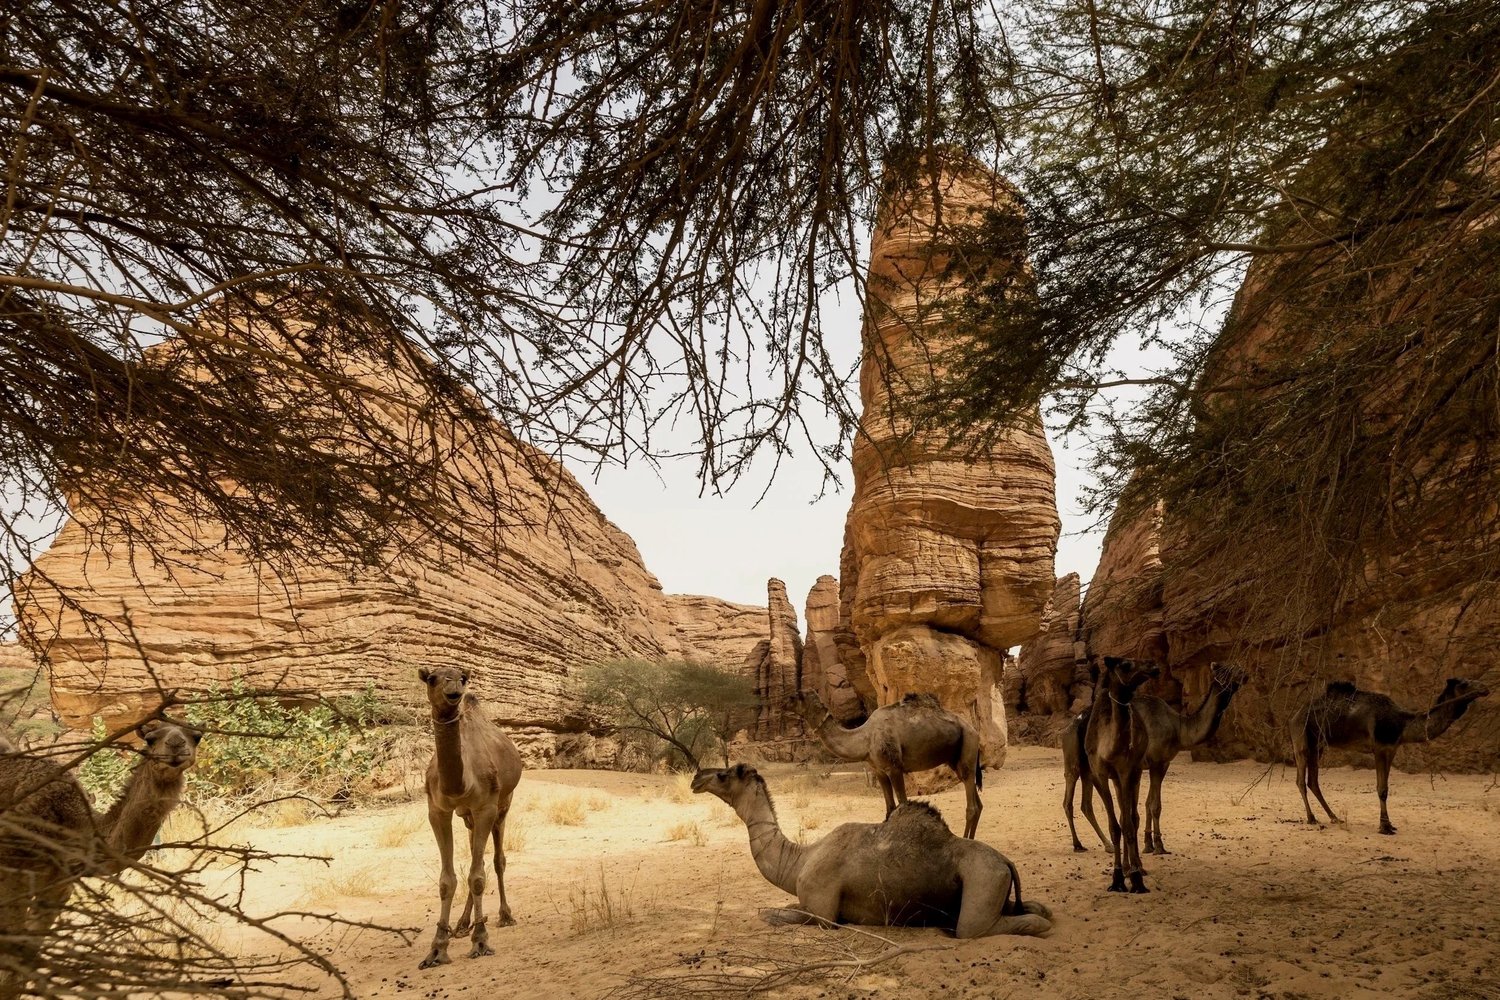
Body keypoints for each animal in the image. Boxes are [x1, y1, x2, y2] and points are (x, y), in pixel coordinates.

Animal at [416, 666, 522, 970]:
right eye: (432, 678)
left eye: (462, 678)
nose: (455, 690)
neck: (460, 783)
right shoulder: (437, 810)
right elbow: (447, 880)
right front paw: (437, 948)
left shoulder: (486, 806)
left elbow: (477, 876)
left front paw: (482, 941)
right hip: (467, 818)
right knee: (479, 857)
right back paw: (463, 924)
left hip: (503, 805)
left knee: (497, 860)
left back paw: (504, 915)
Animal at [691, 763, 1050, 937]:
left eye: (723, 774)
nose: (696, 778)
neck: (800, 860)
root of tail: (1006, 861)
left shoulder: (823, 913)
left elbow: (770, 914)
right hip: (996, 883)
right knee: (1036, 907)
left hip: (982, 880)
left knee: (980, 928)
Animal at [794, 690, 985, 838]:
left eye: (798, 696)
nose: (789, 700)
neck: (865, 738)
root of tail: (974, 730)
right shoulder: (879, 771)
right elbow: (890, 809)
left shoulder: (894, 768)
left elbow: (903, 807)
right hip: (956, 758)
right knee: (977, 802)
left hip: (968, 744)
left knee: (972, 805)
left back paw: (967, 840)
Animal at [1082, 656, 1160, 893]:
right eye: (1125, 664)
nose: (1154, 666)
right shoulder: (1099, 774)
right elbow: (1114, 826)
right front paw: (1117, 877)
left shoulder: (1127, 771)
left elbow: (1127, 825)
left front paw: (1136, 879)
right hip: (1115, 779)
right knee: (1123, 817)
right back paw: (1126, 868)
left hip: (1135, 773)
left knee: (1132, 818)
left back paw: (1137, 867)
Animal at [1291, 676, 1490, 835]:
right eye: (1464, 683)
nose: (1484, 688)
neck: (1401, 723)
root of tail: (1295, 715)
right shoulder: (1379, 747)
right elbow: (1382, 789)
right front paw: (1385, 827)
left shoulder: (1392, 748)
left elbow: (1386, 788)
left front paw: (1389, 824)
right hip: (1301, 738)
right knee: (1301, 779)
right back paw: (1311, 818)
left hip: (1318, 745)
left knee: (1313, 781)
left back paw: (1334, 817)